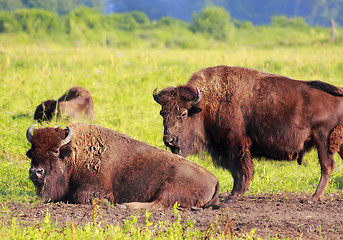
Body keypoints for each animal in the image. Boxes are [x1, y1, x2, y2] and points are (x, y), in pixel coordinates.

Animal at [26, 123, 220, 209]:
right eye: (31, 152)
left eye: (55, 151)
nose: (36, 172)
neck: (74, 154)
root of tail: (214, 179)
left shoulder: (95, 188)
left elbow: (80, 196)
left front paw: (107, 203)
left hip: (169, 189)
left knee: (159, 204)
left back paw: (126, 206)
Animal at [154, 65, 343, 202]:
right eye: (162, 113)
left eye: (183, 114)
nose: (169, 139)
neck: (205, 105)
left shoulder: (236, 145)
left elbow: (240, 170)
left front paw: (233, 196)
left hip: (323, 139)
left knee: (327, 165)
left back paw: (313, 198)